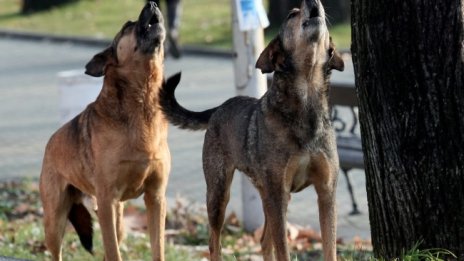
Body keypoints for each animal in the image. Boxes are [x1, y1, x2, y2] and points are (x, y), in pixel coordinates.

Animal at [38, 2, 169, 260]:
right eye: (127, 26)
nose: (152, 4)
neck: (142, 103)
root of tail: (50, 143)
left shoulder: (156, 197)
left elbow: (157, 248)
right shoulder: (107, 201)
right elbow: (112, 251)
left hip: (117, 217)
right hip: (55, 221)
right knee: (57, 251)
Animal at [160, 0, 344, 258]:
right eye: (292, 14)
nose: (313, 2)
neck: (306, 104)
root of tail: (219, 108)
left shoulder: (326, 192)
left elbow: (329, 248)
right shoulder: (278, 195)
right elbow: (283, 251)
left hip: (267, 195)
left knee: (264, 241)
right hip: (219, 194)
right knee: (214, 242)